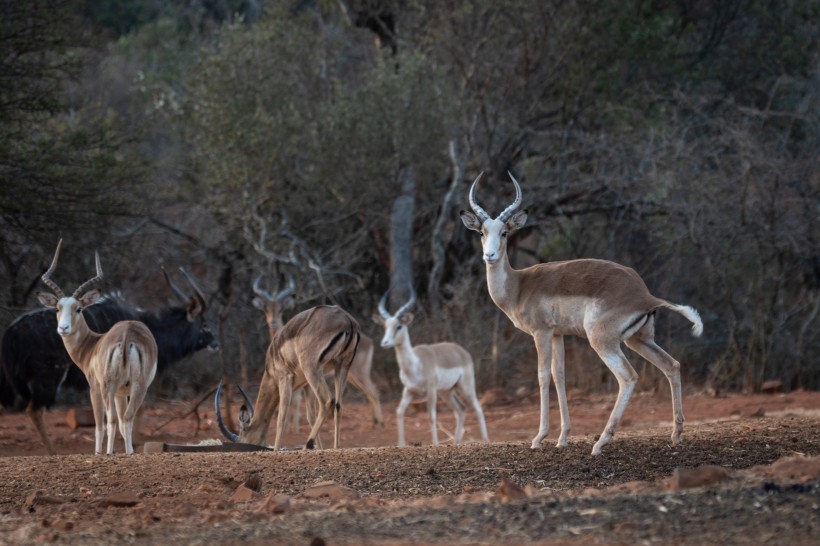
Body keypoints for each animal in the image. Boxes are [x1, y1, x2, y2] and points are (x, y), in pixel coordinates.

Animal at [37, 240, 159, 452]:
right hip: (137, 386)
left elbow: (100, 426)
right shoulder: (121, 392)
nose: (63, 328)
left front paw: (98, 453)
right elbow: (121, 423)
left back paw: (109, 453)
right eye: (58, 308)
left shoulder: (94, 388)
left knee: (111, 421)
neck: (92, 345)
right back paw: (128, 452)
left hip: (108, 387)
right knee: (126, 418)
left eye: (78, 308)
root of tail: (127, 335)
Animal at [376, 286, 486, 444]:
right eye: (385, 326)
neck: (415, 364)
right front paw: (401, 444)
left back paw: (486, 440)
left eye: (399, 326)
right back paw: (456, 442)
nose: (385, 343)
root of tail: (461, 351)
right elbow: (399, 412)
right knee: (461, 409)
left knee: (477, 407)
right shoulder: (408, 390)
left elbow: (431, 417)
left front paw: (435, 444)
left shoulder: (431, 390)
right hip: (446, 392)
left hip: (465, 388)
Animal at [464, 172, 700, 452]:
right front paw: (562, 437)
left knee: (628, 377)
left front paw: (539, 438)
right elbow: (559, 376)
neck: (519, 286)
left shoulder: (541, 333)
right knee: (671, 365)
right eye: (481, 232)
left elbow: (542, 376)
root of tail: (644, 295)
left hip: (602, 340)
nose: (488, 256)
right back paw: (676, 433)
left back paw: (601, 442)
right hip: (638, 340)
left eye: (504, 232)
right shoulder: (558, 334)